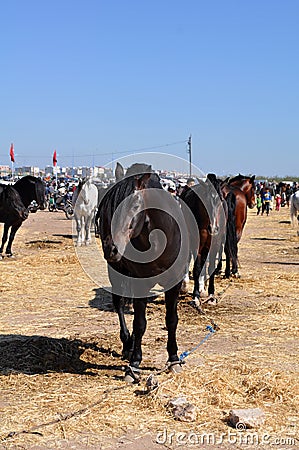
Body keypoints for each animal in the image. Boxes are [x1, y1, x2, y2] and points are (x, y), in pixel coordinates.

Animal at [98, 163, 192, 382]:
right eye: (108, 207)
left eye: (134, 206)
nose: (111, 249)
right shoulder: (139, 282)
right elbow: (139, 323)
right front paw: (134, 364)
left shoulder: (174, 283)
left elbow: (171, 320)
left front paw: (174, 359)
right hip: (117, 272)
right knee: (119, 304)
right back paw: (127, 345)